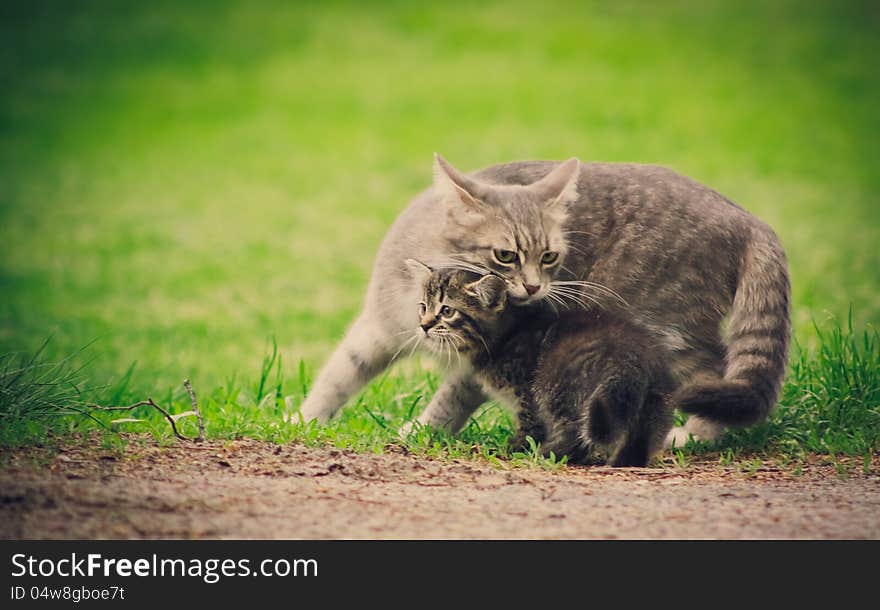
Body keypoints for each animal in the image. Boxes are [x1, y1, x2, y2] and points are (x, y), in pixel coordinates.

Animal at [302, 154, 792, 444]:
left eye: (551, 256)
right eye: (505, 255)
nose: (536, 287)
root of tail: (747, 218)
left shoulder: (483, 361)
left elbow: (448, 401)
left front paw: (419, 432)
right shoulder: (377, 329)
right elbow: (339, 374)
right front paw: (303, 420)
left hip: (669, 327)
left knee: (713, 376)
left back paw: (690, 436)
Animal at [408, 262, 672, 466]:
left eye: (447, 311)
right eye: (423, 307)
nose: (424, 325)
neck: (505, 335)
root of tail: (634, 356)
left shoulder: (525, 391)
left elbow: (529, 425)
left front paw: (514, 448)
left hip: (557, 383)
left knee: (574, 430)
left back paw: (546, 453)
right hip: (652, 402)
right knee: (642, 435)